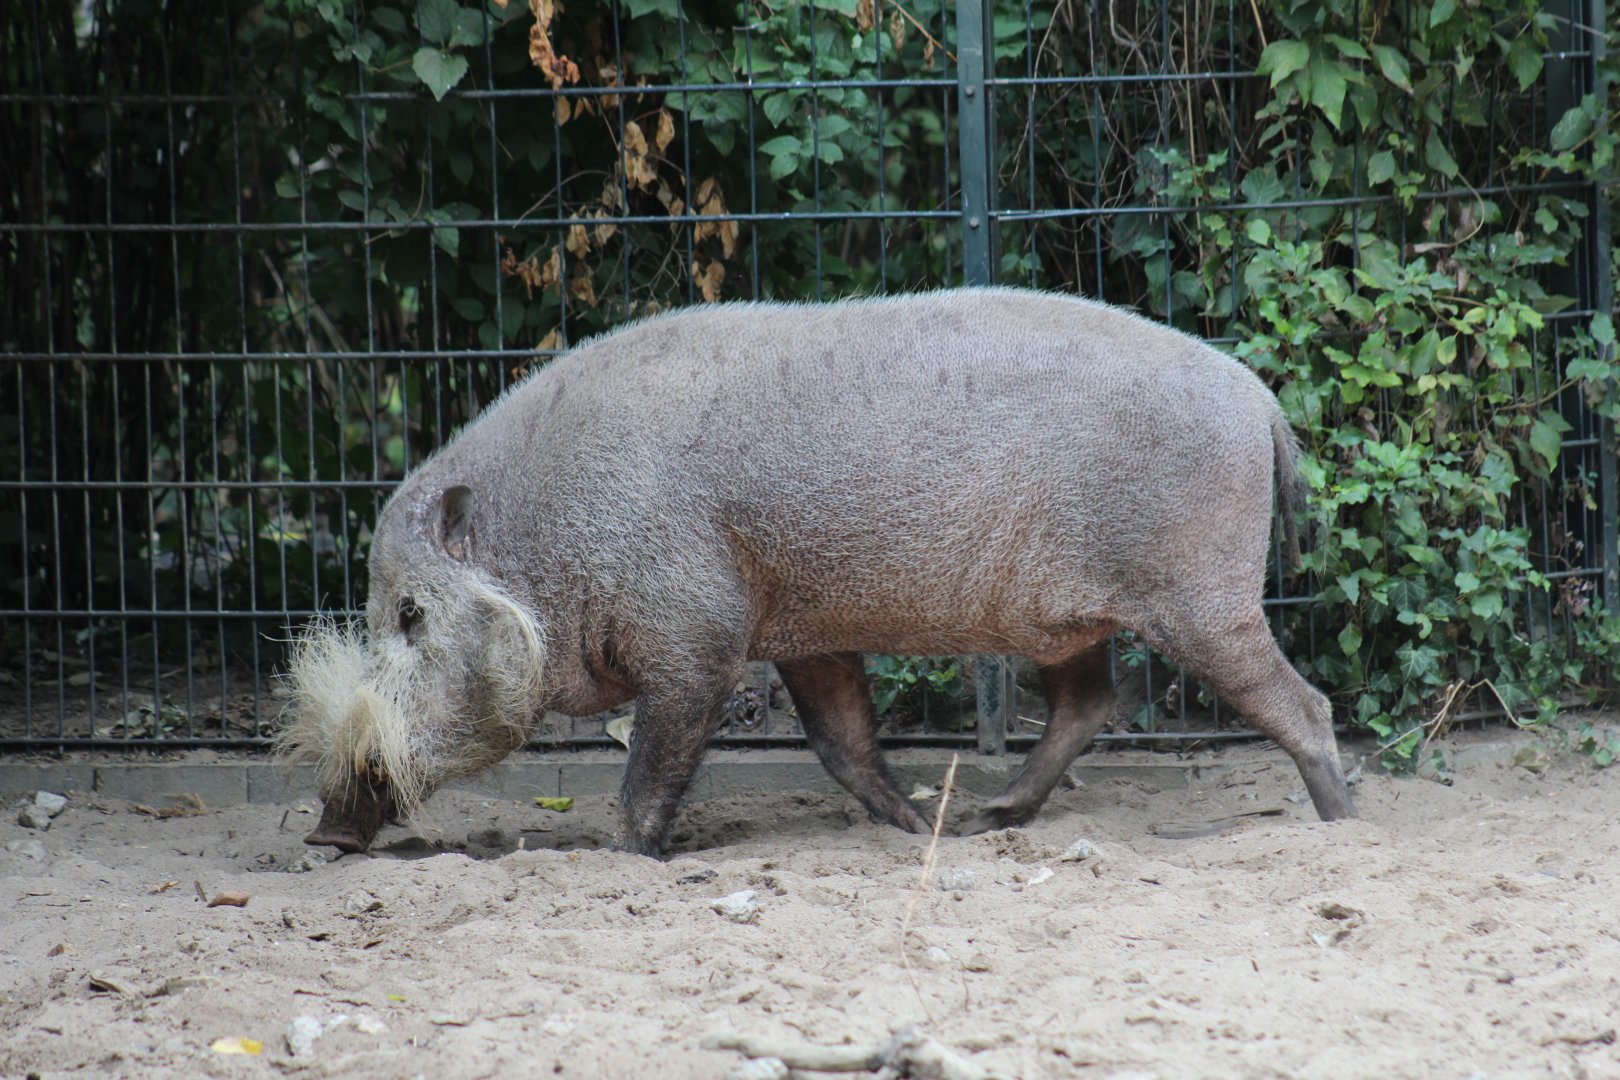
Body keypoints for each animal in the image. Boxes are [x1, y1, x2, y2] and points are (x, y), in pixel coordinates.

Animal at [276, 287, 1356, 857]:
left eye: (409, 615)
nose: (323, 833)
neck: (549, 538)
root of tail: (1257, 396)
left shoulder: (699, 641)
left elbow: (650, 769)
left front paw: (623, 856)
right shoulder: (807, 639)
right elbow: (843, 745)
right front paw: (913, 827)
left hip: (1205, 599)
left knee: (1304, 704)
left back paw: (1345, 827)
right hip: (1066, 620)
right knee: (1091, 702)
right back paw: (989, 818)